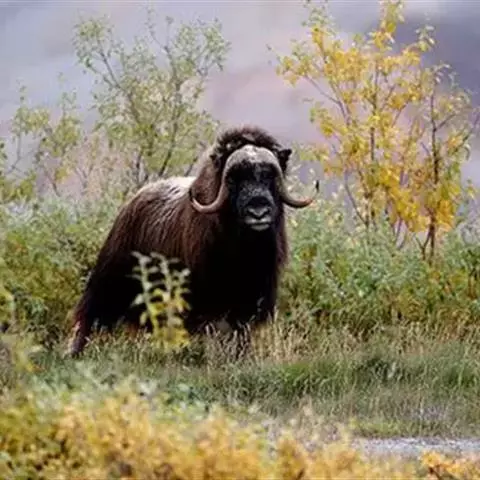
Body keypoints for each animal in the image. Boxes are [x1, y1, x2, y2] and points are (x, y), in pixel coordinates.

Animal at [67, 125, 319, 356]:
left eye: (270, 176)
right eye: (233, 179)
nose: (258, 211)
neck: (246, 248)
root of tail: (132, 201)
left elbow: (241, 332)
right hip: (109, 278)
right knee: (90, 313)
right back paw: (75, 352)